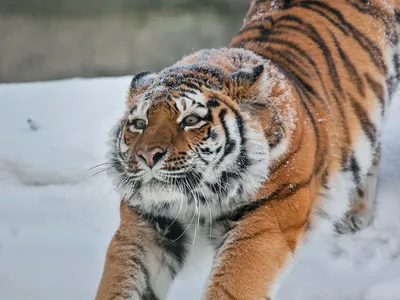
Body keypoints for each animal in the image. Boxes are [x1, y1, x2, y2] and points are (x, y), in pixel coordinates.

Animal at [95, 0, 398, 300]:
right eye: (139, 123)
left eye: (191, 120)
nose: (147, 156)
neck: (204, 198)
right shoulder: (144, 225)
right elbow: (121, 280)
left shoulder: (268, 220)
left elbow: (234, 284)